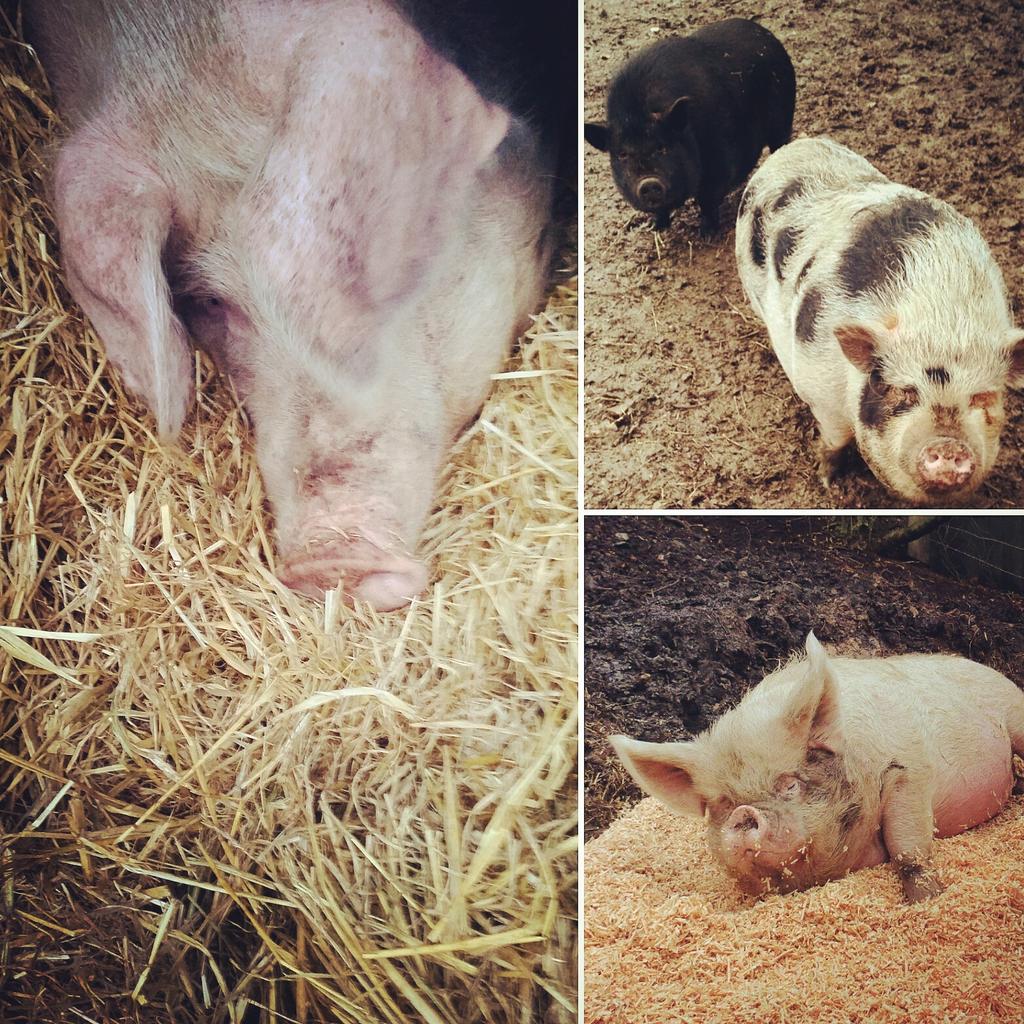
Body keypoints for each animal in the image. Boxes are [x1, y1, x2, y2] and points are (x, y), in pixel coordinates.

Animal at [584, 18, 795, 236]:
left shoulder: (718, 157)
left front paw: (706, 234)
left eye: (662, 147)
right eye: (623, 154)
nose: (648, 182)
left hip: (782, 119)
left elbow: (707, 199)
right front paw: (654, 227)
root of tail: (766, 34)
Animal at [611, 633, 1024, 902]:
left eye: (790, 784)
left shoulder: (908, 771)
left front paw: (928, 900)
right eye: (722, 805)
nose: (744, 813)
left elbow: (908, 850)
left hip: (1015, 714)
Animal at [736, 137, 1024, 505]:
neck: (943, 321)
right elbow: (836, 438)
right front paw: (828, 480)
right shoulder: (818, 386)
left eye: (982, 396)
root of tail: (796, 145)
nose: (947, 445)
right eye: (904, 391)